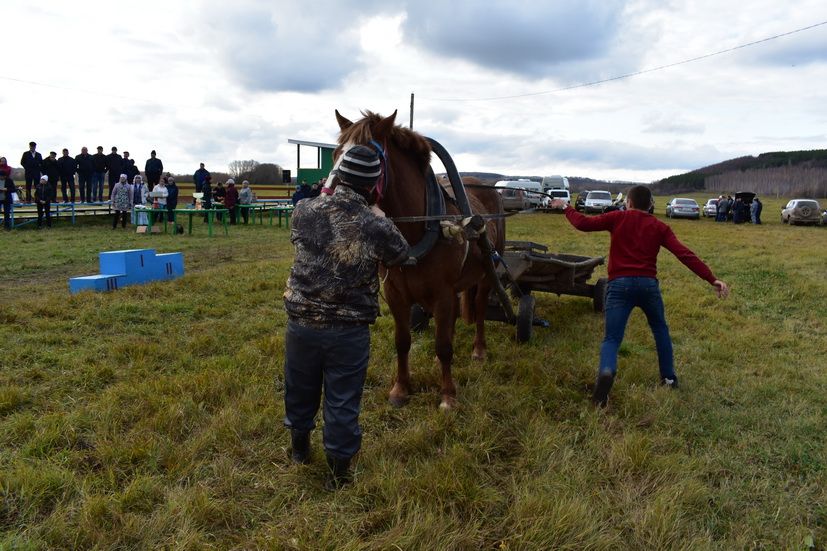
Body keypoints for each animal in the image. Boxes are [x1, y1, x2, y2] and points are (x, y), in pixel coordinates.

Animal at [334, 110, 504, 410]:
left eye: (364, 157)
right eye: (334, 153)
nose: (330, 197)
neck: (419, 228)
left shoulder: (442, 292)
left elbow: (443, 345)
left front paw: (448, 395)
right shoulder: (396, 294)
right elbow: (403, 341)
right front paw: (401, 389)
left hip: (487, 273)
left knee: (481, 308)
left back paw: (479, 350)